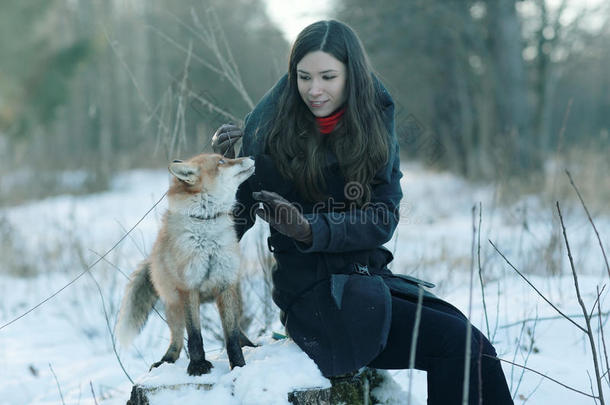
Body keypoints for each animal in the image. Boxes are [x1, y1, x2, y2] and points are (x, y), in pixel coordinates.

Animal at [114, 152, 254, 376]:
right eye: (221, 162)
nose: (250, 155)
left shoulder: (225, 283)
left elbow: (231, 337)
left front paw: (239, 366)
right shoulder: (188, 287)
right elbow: (195, 336)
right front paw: (198, 366)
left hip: (233, 296)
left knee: (238, 329)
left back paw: (250, 345)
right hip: (174, 308)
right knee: (177, 340)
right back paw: (166, 360)